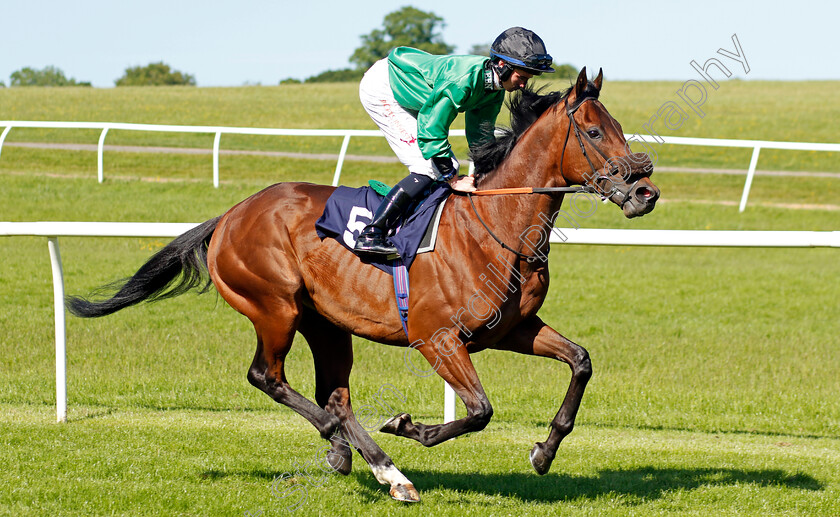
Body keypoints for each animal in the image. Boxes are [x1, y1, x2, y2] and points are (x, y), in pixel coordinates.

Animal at [67, 66, 656, 502]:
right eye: (596, 132)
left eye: (619, 127)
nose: (644, 192)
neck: (495, 226)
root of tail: (229, 216)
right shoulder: (437, 338)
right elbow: (479, 411)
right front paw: (410, 426)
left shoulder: (511, 328)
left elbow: (580, 361)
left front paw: (544, 450)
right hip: (275, 307)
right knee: (268, 377)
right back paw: (351, 450)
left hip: (327, 325)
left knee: (335, 395)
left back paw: (379, 468)